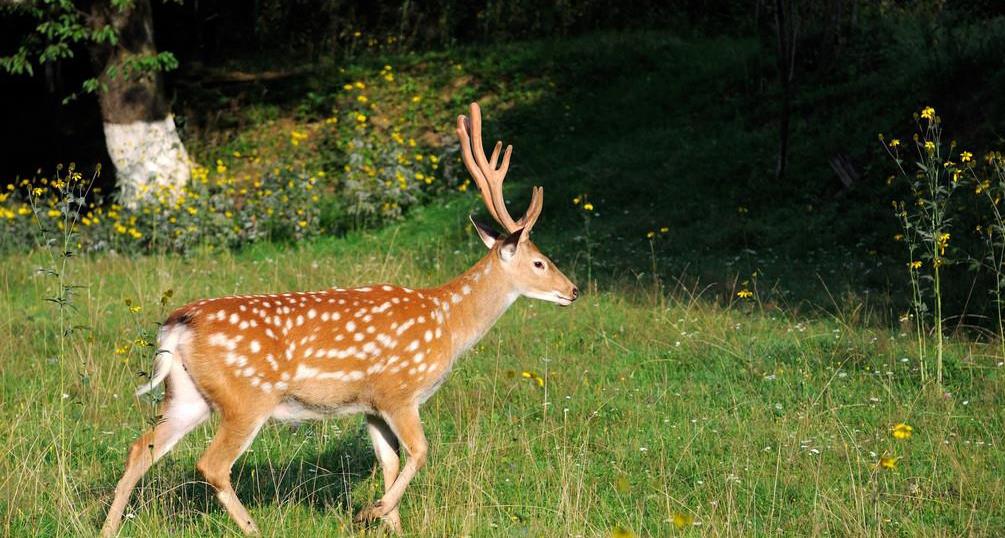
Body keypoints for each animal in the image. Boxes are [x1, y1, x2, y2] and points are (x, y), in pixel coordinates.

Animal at [99, 103, 582, 534]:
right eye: (540, 262)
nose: (574, 290)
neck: (448, 322)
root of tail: (177, 323)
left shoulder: (370, 405)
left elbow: (389, 462)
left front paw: (389, 523)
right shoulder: (398, 391)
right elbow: (420, 452)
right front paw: (370, 512)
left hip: (187, 394)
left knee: (140, 448)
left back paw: (108, 528)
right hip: (246, 397)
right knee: (211, 464)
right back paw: (255, 529)